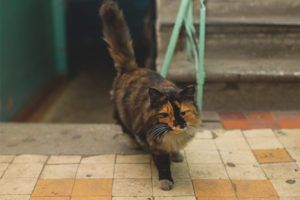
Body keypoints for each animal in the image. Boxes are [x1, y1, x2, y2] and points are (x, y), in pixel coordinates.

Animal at [99, 0, 200, 191]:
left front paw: (176, 155)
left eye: (183, 113)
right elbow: (163, 165)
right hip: (122, 114)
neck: (173, 136)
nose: (178, 124)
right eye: (165, 114)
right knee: (126, 129)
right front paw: (166, 182)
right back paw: (134, 144)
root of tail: (131, 68)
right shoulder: (157, 147)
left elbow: (174, 151)